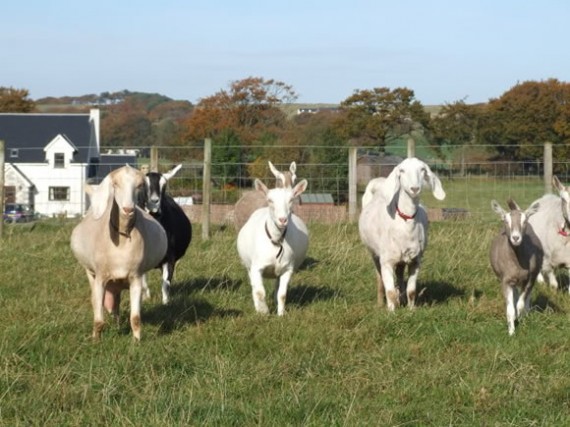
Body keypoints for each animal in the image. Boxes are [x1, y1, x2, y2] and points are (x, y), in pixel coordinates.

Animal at [69, 165, 166, 342]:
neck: (122, 238)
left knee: (116, 306)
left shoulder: (136, 277)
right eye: (115, 184)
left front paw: (136, 342)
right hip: (91, 273)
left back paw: (118, 325)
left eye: (140, 185)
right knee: (99, 302)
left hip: (119, 284)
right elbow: (98, 319)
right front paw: (96, 341)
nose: (128, 209)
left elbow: (135, 318)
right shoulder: (100, 277)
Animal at [140, 165, 191, 304]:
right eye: (143, 185)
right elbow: (143, 282)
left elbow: (166, 284)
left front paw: (165, 303)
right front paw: (146, 299)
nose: (154, 202)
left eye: (164, 186)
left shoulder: (170, 258)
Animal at [235, 177, 306, 314]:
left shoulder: (287, 268)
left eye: (291, 200)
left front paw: (281, 314)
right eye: (270, 200)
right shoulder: (256, 267)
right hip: (248, 266)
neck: (276, 241)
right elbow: (259, 292)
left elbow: (282, 294)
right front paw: (263, 311)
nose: (282, 220)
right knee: (254, 286)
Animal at [358, 157, 446, 310]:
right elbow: (390, 292)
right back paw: (380, 303)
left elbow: (411, 291)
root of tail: (379, 183)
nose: (414, 189)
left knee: (399, 275)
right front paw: (391, 311)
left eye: (422, 170)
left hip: (402, 258)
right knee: (379, 277)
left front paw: (411, 309)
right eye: (402, 170)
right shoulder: (386, 261)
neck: (405, 221)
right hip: (374, 253)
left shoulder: (416, 261)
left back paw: (402, 298)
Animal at [486, 199, 540, 336]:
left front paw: (521, 317)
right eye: (506, 220)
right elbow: (510, 309)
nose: (516, 238)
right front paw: (511, 332)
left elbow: (521, 303)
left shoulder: (529, 278)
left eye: (525, 221)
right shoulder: (506, 280)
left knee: (526, 298)